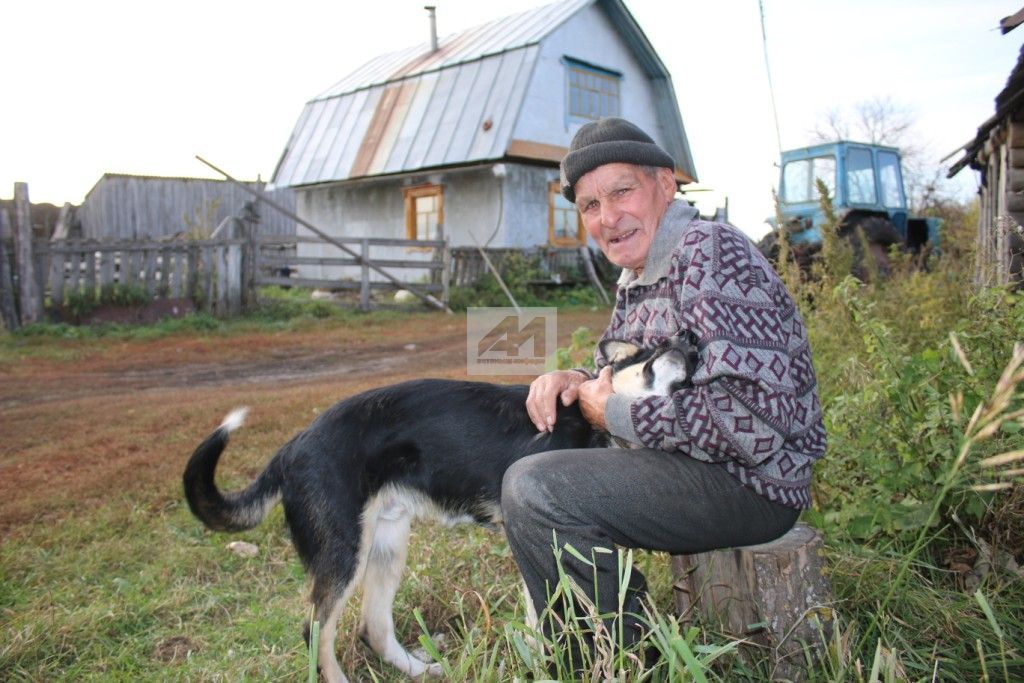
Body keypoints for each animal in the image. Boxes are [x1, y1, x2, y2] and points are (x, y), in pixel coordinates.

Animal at [182, 333, 696, 679]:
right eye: (656, 347)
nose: (688, 341)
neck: (600, 426)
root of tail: (292, 448)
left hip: (386, 546)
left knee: (373, 627)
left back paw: (420, 670)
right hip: (344, 554)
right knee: (316, 633)